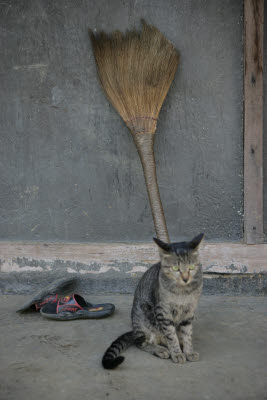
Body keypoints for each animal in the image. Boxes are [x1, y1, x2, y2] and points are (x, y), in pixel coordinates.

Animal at [103, 234, 205, 368]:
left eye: (191, 267)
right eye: (175, 268)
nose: (185, 279)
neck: (183, 291)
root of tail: (134, 330)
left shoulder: (189, 311)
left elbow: (187, 333)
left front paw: (189, 351)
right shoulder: (163, 312)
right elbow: (171, 336)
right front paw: (177, 353)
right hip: (144, 318)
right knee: (141, 342)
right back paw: (160, 349)